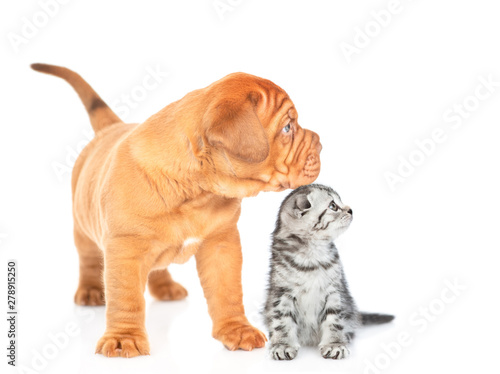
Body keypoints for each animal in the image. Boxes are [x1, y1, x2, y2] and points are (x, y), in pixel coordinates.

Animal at [266, 184, 394, 360]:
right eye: (333, 206)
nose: (351, 210)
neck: (312, 256)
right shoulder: (282, 293)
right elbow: (282, 321)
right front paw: (282, 345)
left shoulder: (334, 292)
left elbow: (334, 320)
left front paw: (335, 344)